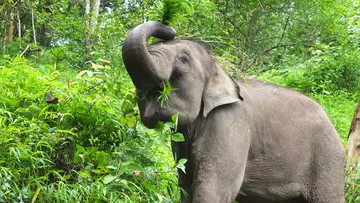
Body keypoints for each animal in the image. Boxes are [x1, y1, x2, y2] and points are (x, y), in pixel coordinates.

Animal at [121, 21, 346, 203]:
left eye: (184, 59)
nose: (170, 29)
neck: (220, 70)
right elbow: (186, 186)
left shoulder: (230, 123)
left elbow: (213, 190)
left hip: (327, 160)